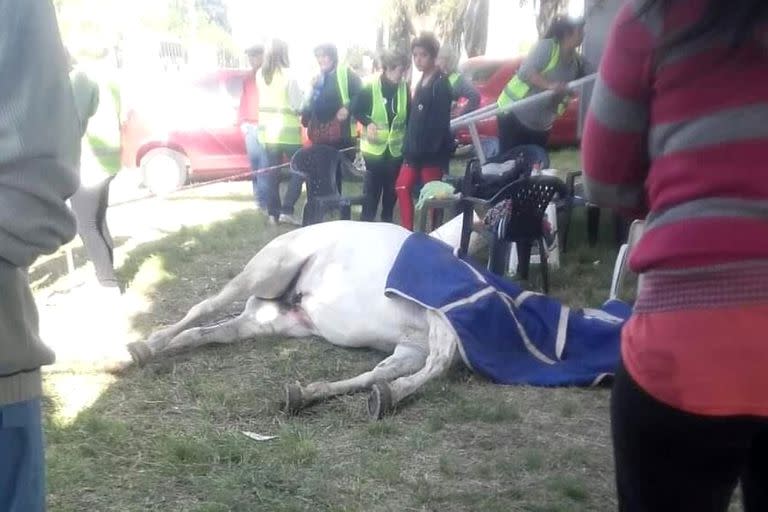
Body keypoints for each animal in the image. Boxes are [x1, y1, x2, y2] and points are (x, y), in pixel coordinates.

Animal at [129, 217, 484, 420]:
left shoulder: (413, 346)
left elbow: (379, 373)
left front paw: (308, 394)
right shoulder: (437, 313)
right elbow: (438, 362)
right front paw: (391, 394)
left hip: (267, 322)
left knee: (207, 332)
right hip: (265, 272)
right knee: (204, 307)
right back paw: (143, 348)